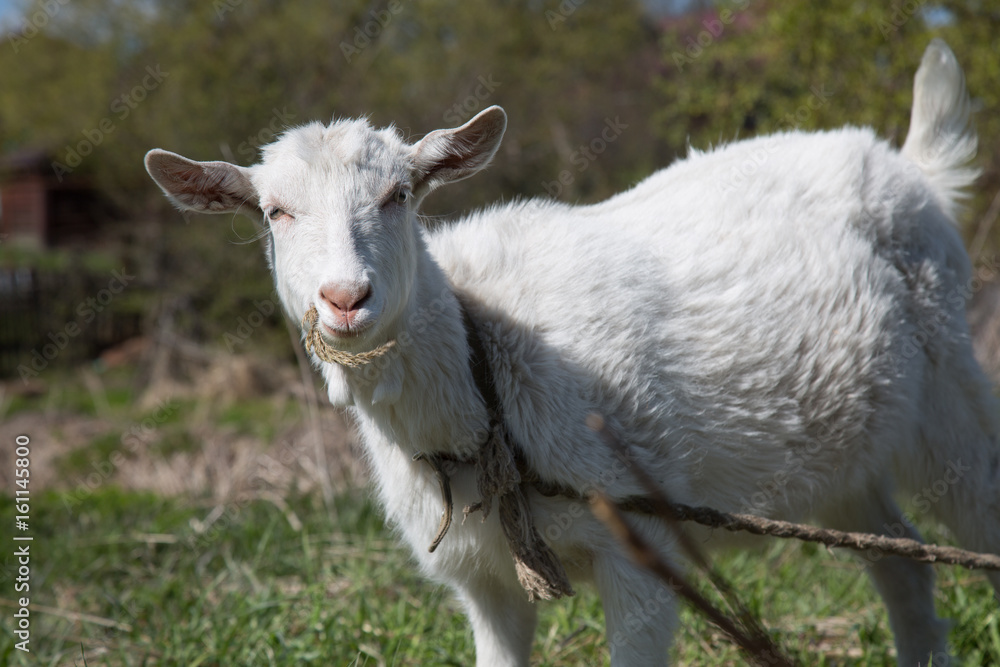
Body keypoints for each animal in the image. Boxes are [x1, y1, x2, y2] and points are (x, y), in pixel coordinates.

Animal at [145, 41, 996, 667]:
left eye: (400, 195)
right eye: (274, 212)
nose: (345, 298)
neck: (487, 372)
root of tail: (908, 164)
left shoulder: (639, 545)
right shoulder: (484, 583)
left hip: (950, 392)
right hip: (842, 450)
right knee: (901, 559)